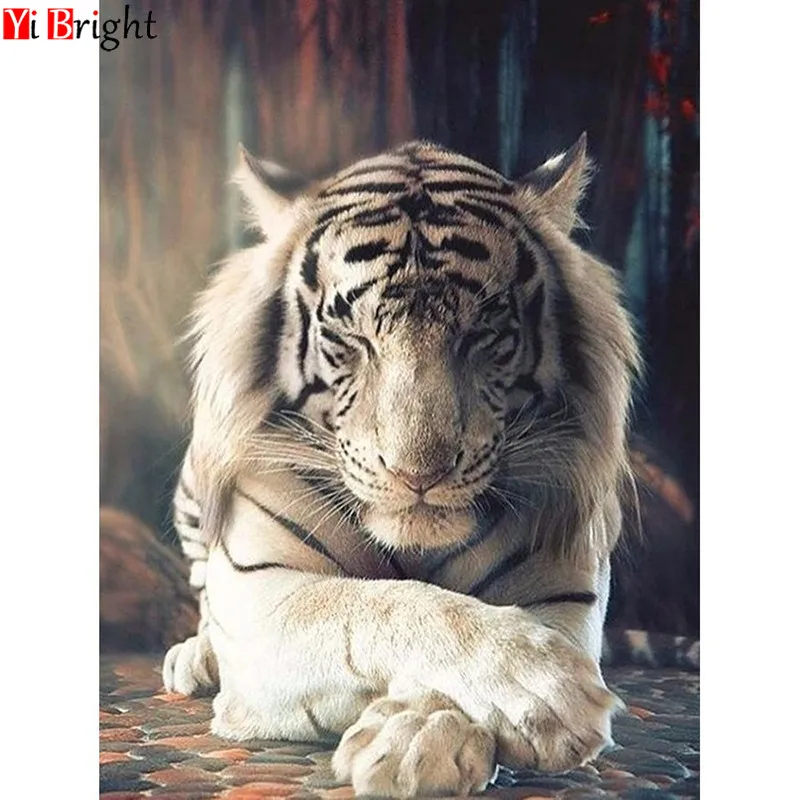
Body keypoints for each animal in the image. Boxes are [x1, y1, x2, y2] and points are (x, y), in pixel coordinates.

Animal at [163, 135, 644, 798]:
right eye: (351, 337)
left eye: (483, 333)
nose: (418, 475)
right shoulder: (264, 596)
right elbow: (383, 604)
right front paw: (543, 688)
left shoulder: (563, 592)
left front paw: (420, 738)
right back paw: (195, 656)